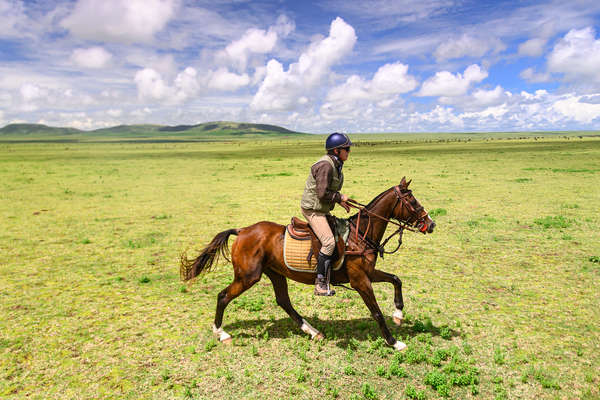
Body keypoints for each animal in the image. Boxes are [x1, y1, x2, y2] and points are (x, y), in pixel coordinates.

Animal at [179, 177, 436, 350]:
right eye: (412, 201)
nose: (431, 224)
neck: (359, 234)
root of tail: (242, 231)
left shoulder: (368, 273)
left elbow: (395, 279)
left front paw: (399, 313)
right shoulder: (360, 280)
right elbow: (376, 312)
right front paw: (394, 342)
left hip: (275, 273)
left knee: (284, 301)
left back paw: (313, 332)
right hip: (248, 277)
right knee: (223, 296)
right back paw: (221, 333)